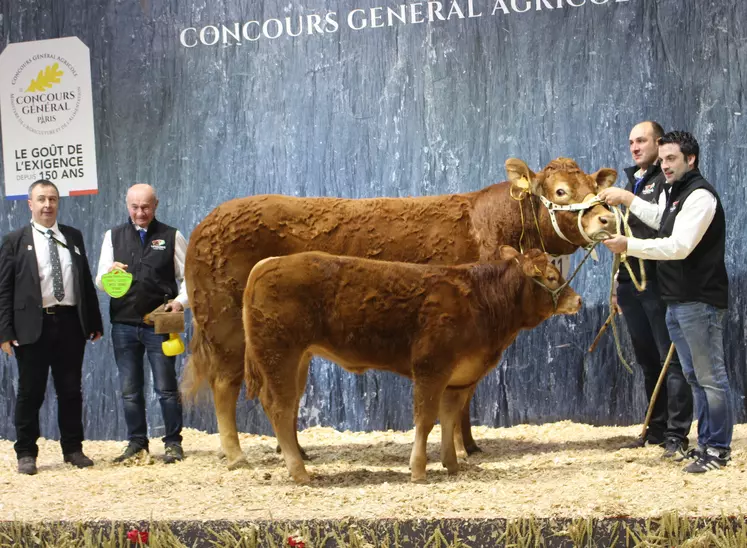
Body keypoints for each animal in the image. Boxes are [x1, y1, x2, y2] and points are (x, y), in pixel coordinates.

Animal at [245, 248, 584, 484]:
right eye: (551, 278)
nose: (579, 300)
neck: (483, 301)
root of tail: (268, 262)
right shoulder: (430, 367)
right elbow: (425, 420)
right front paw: (419, 470)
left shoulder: (459, 378)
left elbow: (448, 419)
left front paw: (452, 464)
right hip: (279, 355)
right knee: (279, 408)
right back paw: (300, 473)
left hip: (297, 361)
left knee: (285, 407)